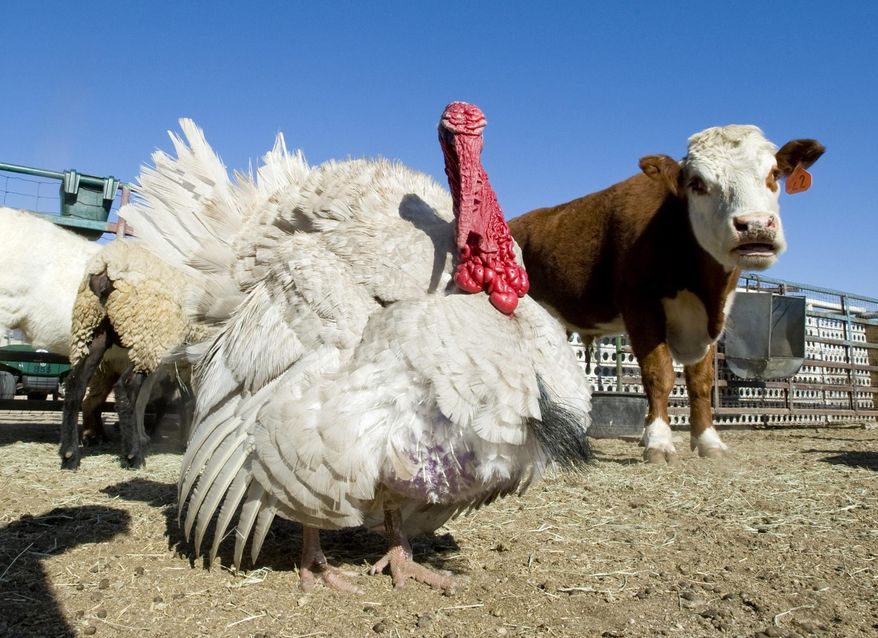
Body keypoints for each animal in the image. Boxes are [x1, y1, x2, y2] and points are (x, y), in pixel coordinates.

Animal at [509, 125, 824, 463]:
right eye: (697, 183)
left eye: (774, 174)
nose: (754, 225)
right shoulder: (640, 305)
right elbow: (658, 374)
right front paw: (658, 441)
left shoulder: (711, 318)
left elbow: (700, 381)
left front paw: (708, 441)